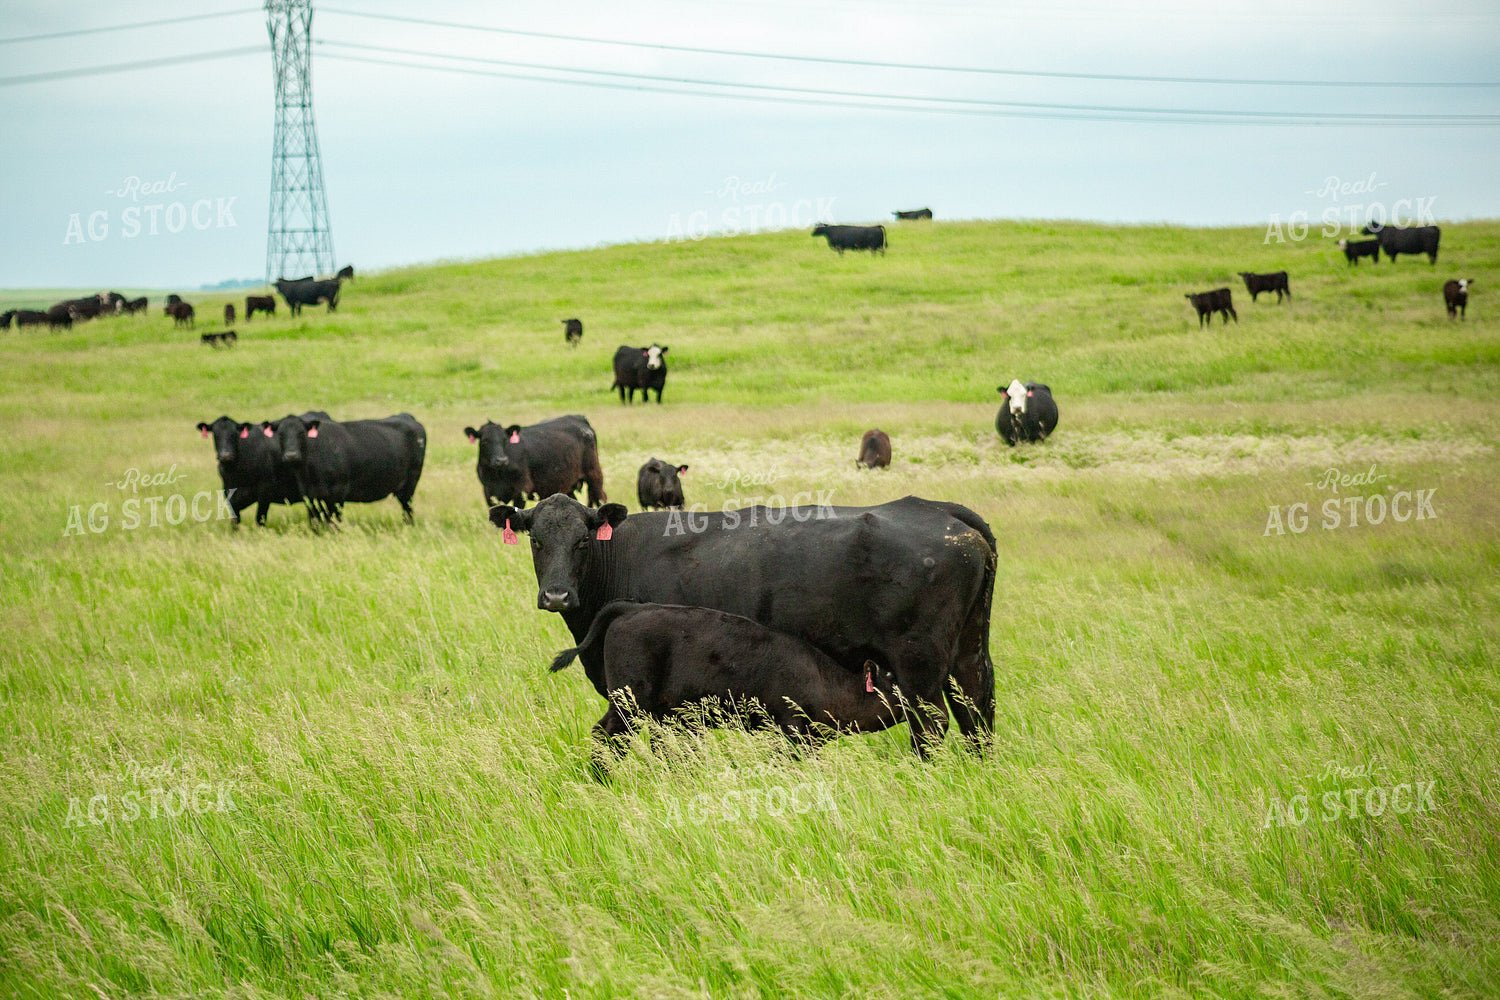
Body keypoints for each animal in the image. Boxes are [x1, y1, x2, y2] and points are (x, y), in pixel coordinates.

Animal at [195, 412, 329, 526]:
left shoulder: (265, 492)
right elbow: (235, 522)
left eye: (234, 434)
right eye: (215, 435)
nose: (225, 455)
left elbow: (260, 519)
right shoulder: (229, 495)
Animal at [271, 412, 426, 524]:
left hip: (410, 483)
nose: (291, 455)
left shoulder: (338, 492)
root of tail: (406, 416)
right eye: (280, 434)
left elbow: (334, 520)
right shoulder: (309, 496)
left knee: (407, 508)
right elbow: (315, 521)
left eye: (301, 433)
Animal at [463, 415, 606, 510]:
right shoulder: (489, 492)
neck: (497, 475)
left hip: (594, 474)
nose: (501, 460)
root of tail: (578, 418)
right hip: (566, 484)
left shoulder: (522, 488)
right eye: (484, 441)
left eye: (504, 439)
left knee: (601, 498)